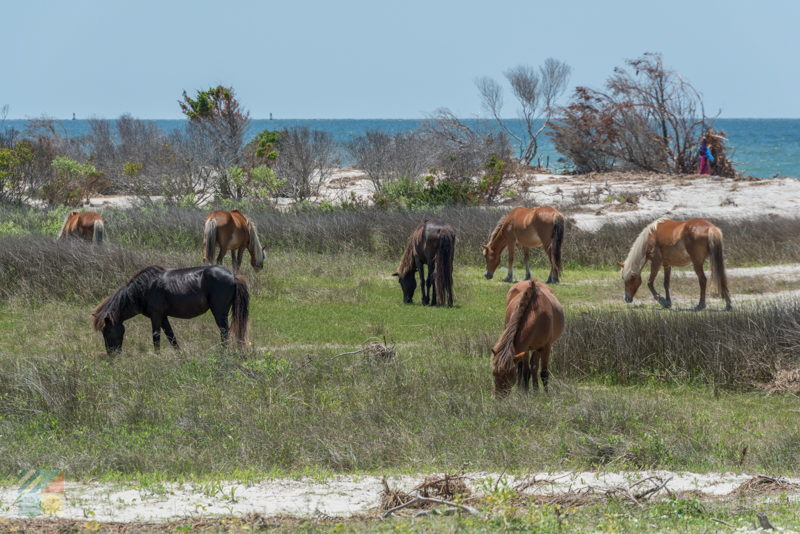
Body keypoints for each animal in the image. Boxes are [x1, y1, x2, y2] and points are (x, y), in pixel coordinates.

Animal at [90, 264, 248, 356]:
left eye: (107, 331)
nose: (111, 356)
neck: (143, 289)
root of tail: (233, 275)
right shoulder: (163, 317)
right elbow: (171, 337)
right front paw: (179, 355)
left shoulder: (155, 315)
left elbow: (156, 337)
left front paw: (157, 357)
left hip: (219, 312)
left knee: (224, 332)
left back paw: (222, 354)